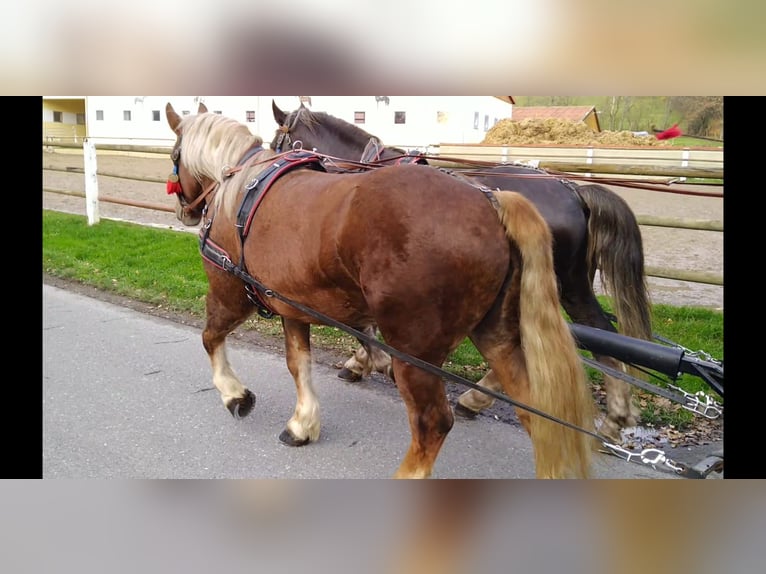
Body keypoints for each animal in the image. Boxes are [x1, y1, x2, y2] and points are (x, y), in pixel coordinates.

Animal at [165, 103, 592, 482]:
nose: (185, 211)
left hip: (415, 353)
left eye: (174, 156)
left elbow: (210, 337)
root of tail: (489, 199)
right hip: (496, 333)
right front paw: (304, 422)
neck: (238, 189)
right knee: (534, 412)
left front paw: (234, 395)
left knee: (433, 422)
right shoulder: (294, 306)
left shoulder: (230, 291)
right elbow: (299, 363)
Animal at [270, 101, 656, 444]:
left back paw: (614, 417)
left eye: (279, 142)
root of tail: (572, 189)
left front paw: (368, 361)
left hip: (563, 286)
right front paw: (364, 362)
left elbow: (362, 325)